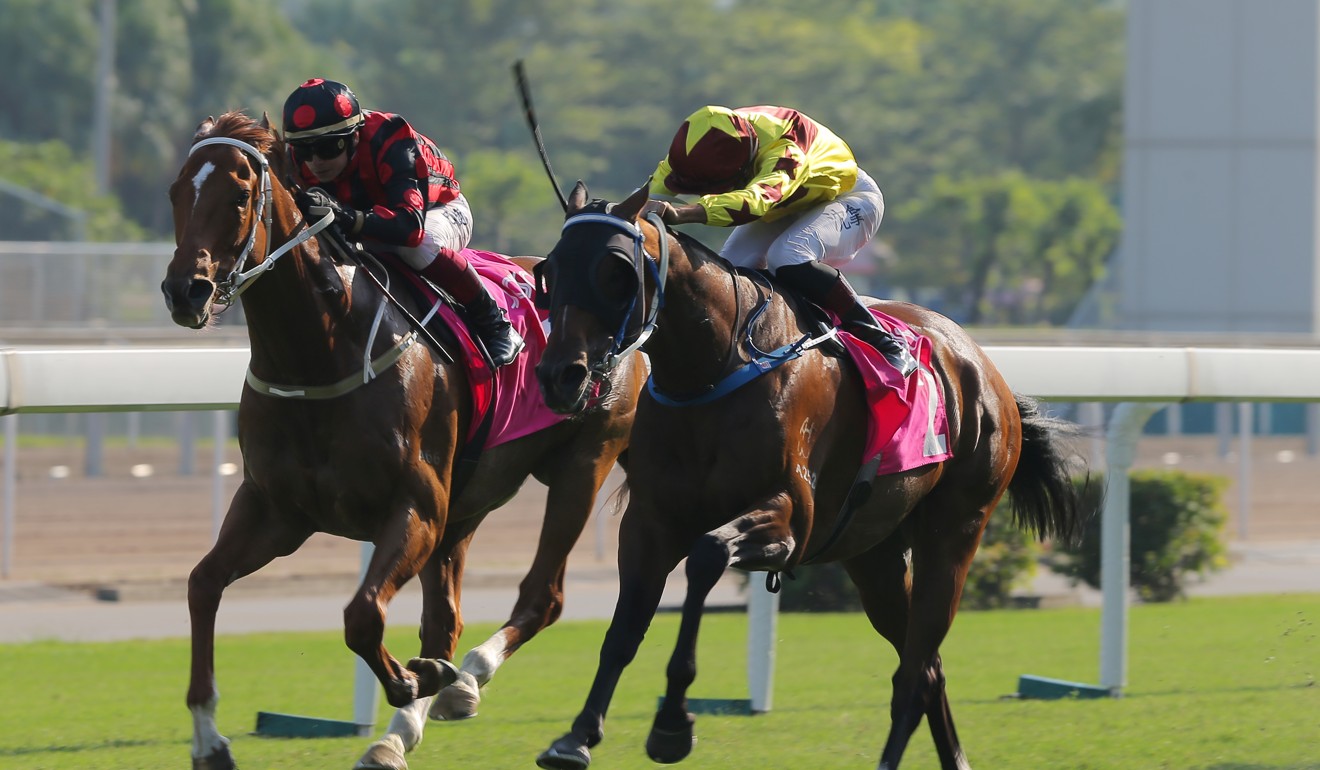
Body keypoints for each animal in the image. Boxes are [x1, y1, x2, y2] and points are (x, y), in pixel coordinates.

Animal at [162, 112, 646, 770]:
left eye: (239, 195)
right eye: (175, 193)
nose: (184, 290)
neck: (319, 353)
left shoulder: (416, 506)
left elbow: (363, 616)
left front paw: (419, 679)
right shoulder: (276, 510)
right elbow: (202, 585)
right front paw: (209, 738)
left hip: (583, 463)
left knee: (541, 597)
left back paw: (461, 682)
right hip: (468, 503)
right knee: (447, 618)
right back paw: (403, 729)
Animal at [530, 182, 1087, 770]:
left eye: (616, 270)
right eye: (550, 270)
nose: (559, 375)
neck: (714, 369)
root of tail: (984, 366)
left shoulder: (789, 520)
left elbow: (707, 556)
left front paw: (672, 722)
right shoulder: (650, 522)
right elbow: (623, 631)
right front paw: (577, 736)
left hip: (956, 530)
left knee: (915, 673)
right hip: (875, 554)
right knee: (927, 669)